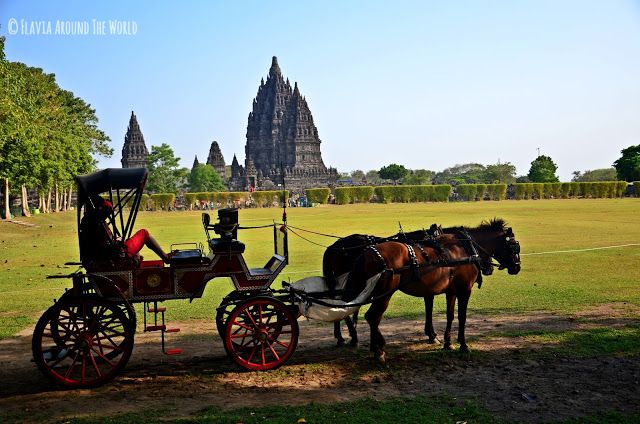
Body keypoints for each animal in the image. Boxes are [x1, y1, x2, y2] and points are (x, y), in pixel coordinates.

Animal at [344, 219, 520, 362]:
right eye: (514, 246)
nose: (517, 268)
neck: (465, 249)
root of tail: (366, 253)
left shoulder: (451, 291)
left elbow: (450, 315)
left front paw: (448, 342)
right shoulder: (464, 290)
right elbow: (462, 317)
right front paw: (463, 345)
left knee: (371, 317)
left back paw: (375, 346)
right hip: (385, 293)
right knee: (373, 317)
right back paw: (379, 350)